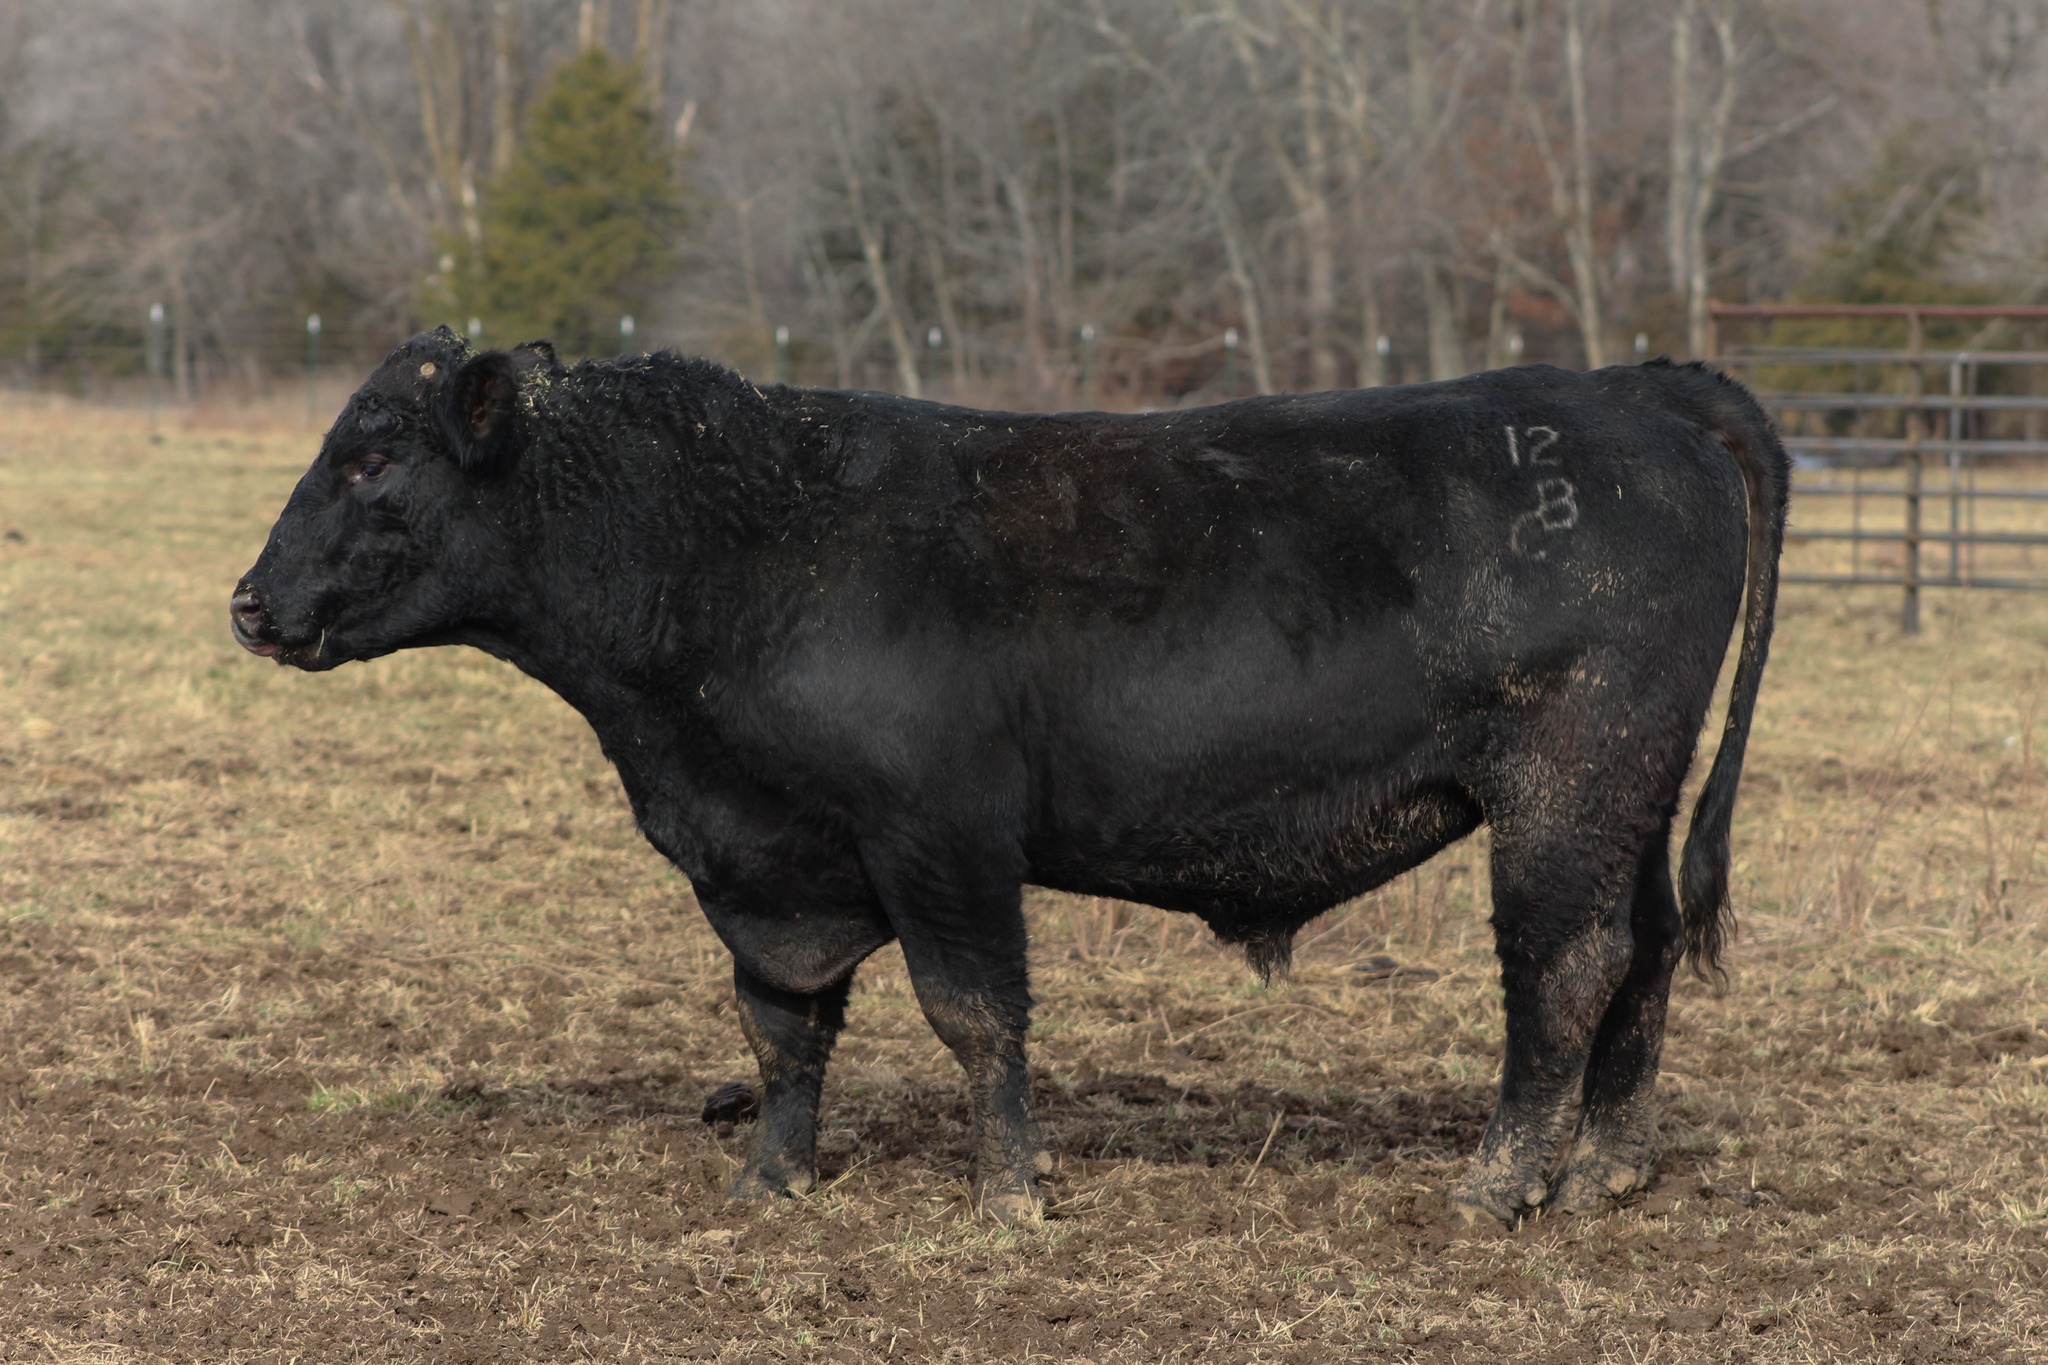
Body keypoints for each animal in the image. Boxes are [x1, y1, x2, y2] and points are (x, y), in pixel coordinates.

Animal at [231, 326, 1785, 1226]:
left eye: (373, 460)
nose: (250, 604)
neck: (740, 550)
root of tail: (1626, 387)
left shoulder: (940, 838)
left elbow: (973, 1015)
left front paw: (1006, 1195)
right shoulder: (771, 862)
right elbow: (781, 1025)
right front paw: (773, 1181)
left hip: (1567, 791)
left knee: (1564, 966)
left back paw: (1500, 1184)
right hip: (1630, 797)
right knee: (1645, 951)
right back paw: (1607, 1169)